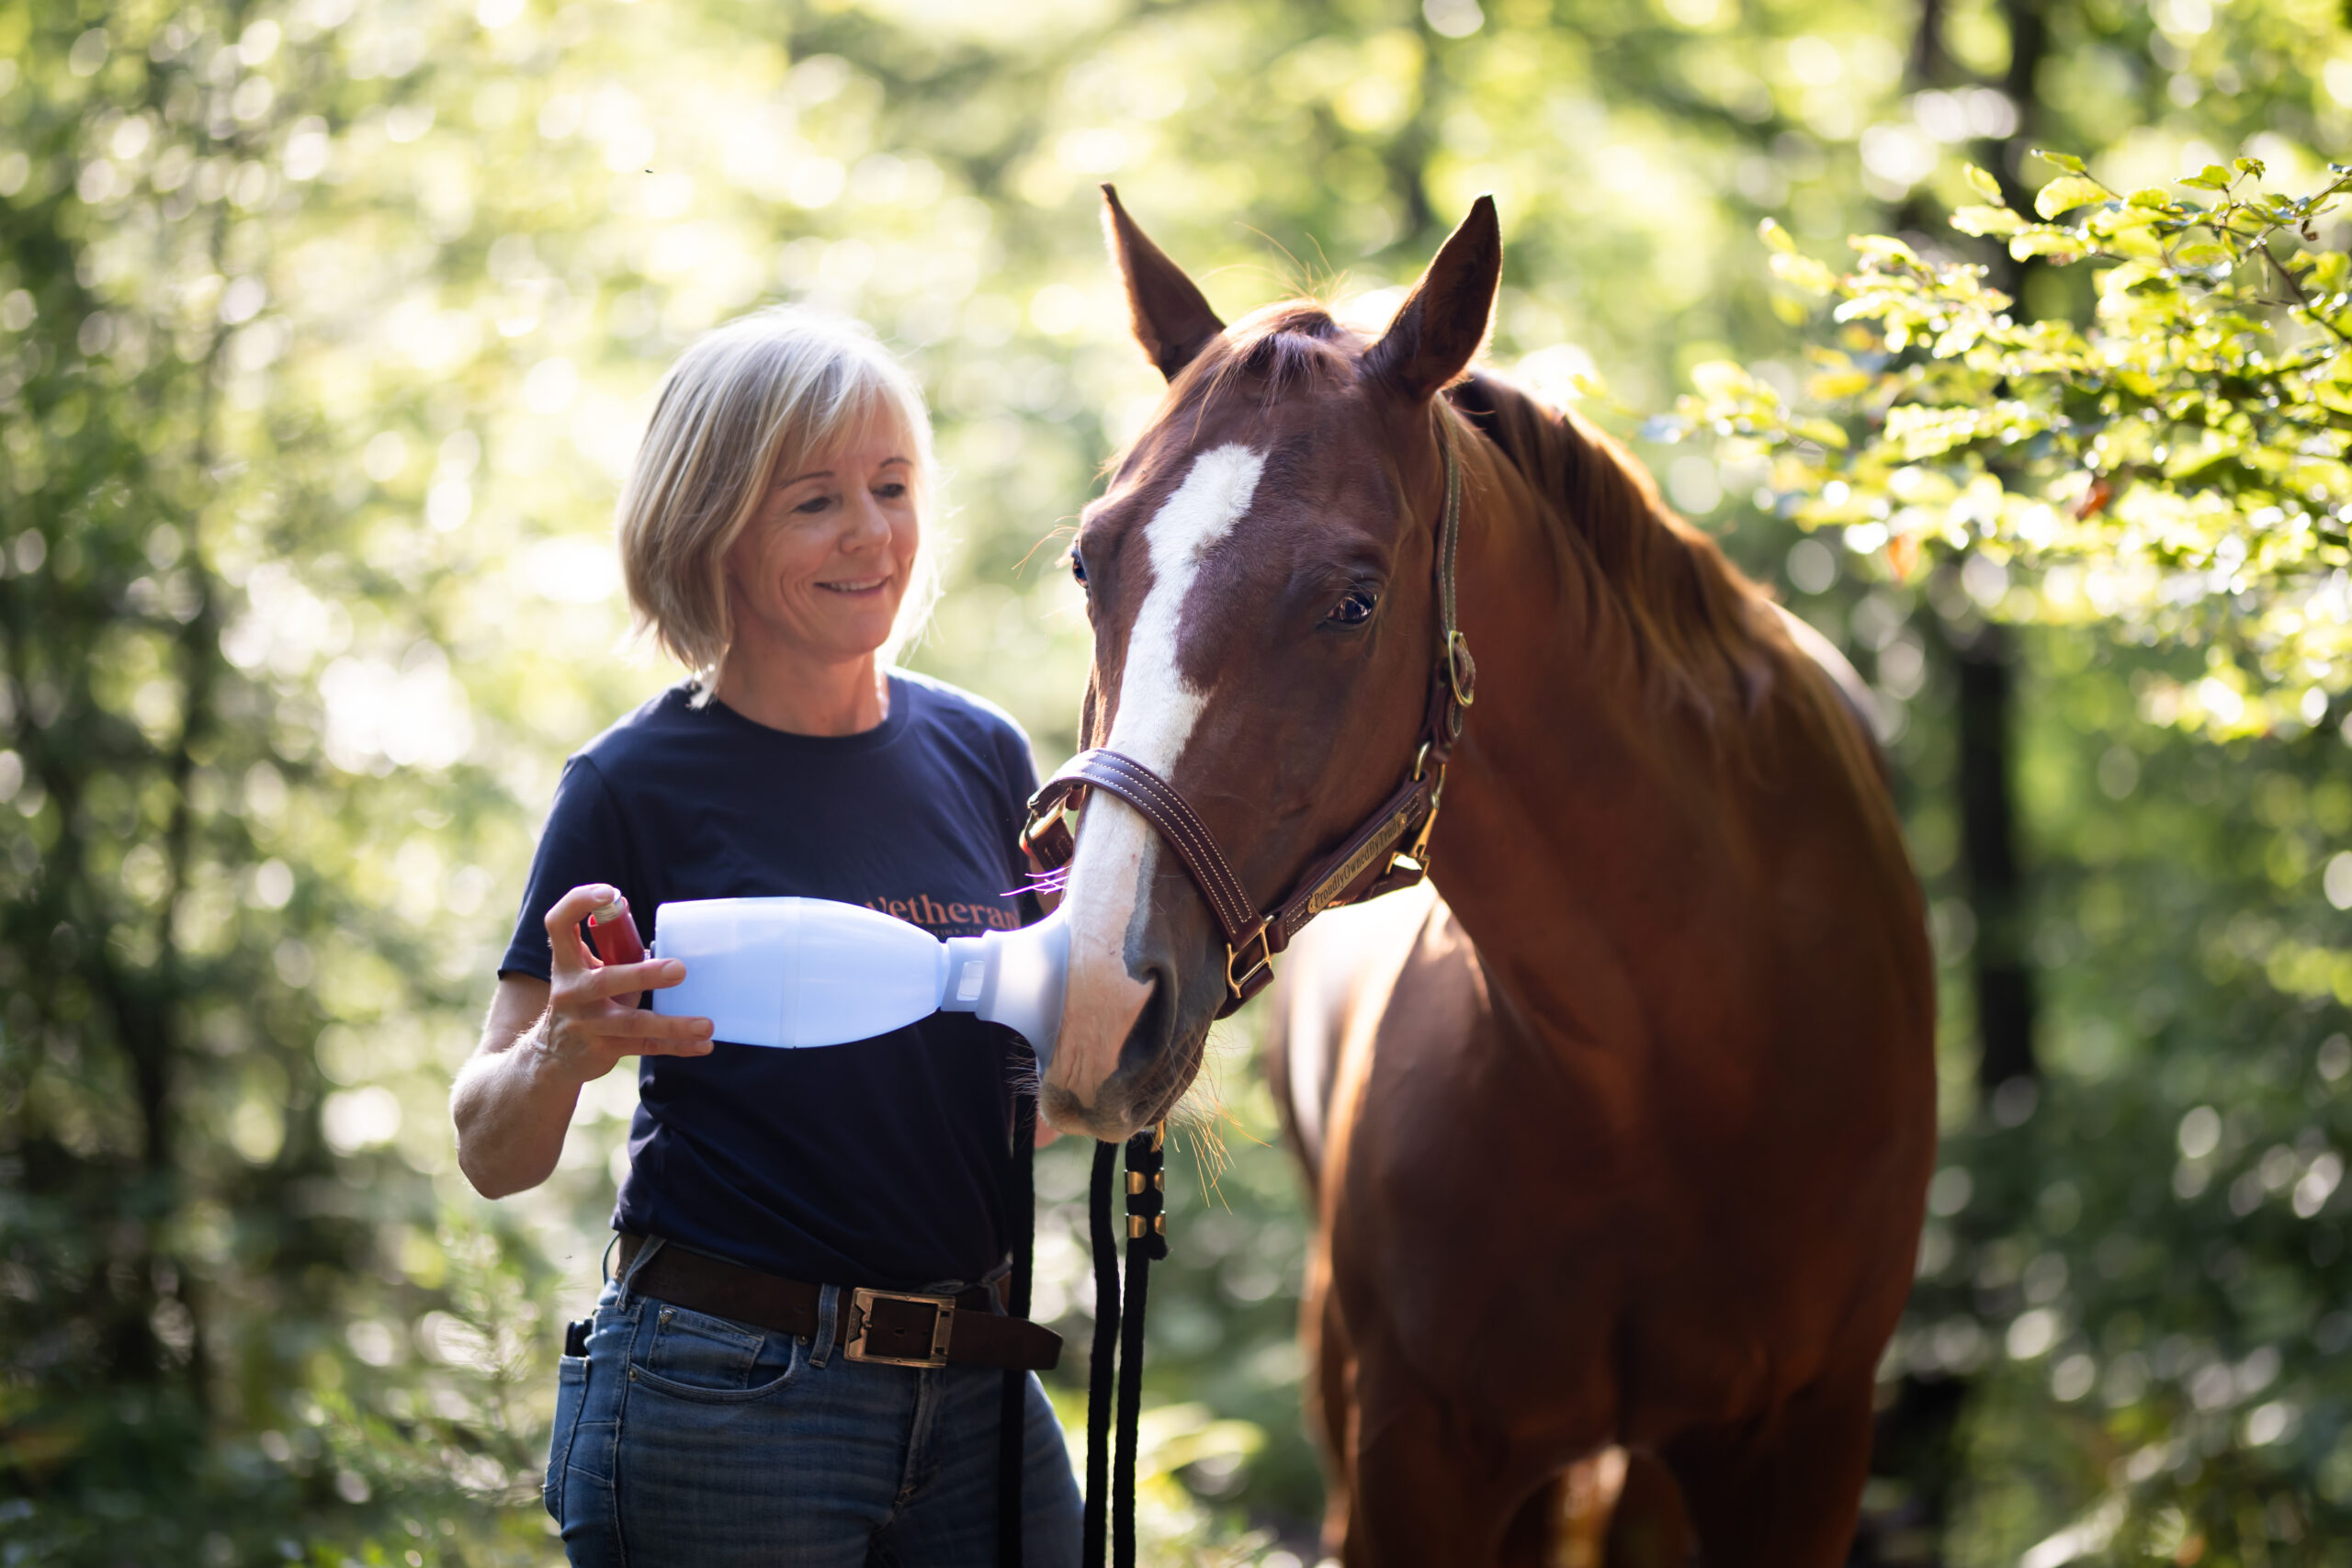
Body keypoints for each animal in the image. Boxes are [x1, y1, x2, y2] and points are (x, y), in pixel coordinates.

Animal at [1039, 190, 1938, 1561]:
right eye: (1090, 562)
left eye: (1354, 602)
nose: (1095, 1002)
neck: (1661, 1065)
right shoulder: (1412, 1459)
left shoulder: (1805, 1443)